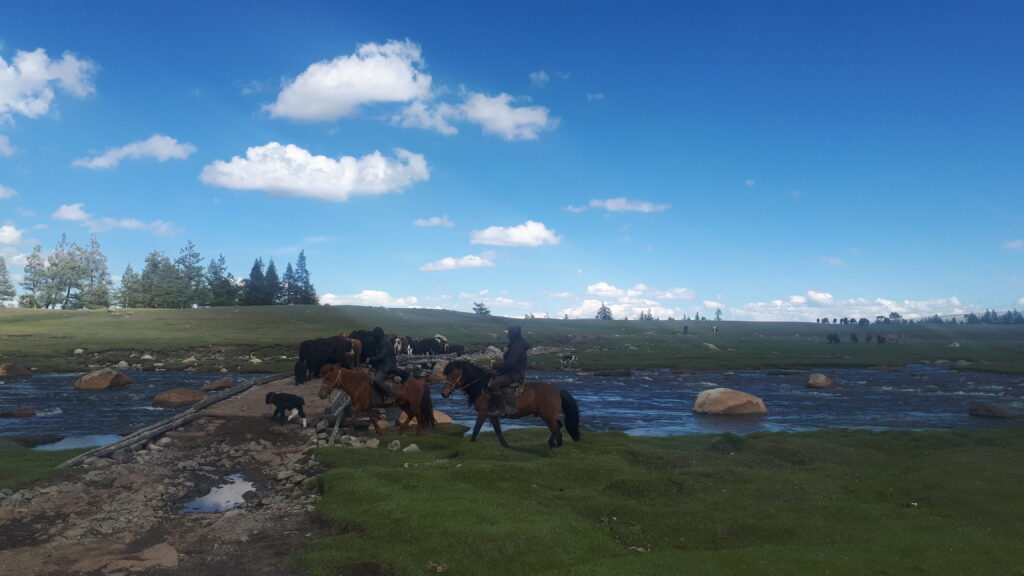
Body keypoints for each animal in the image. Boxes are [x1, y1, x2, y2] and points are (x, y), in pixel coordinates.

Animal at [442, 356, 585, 446]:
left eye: (454, 376)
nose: (443, 394)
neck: (482, 386)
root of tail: (558, 390)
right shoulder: (491, 415)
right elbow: (498, 430)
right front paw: (505, 445)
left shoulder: (482, 413)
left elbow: (476, 429)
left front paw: (471, 443)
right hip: (546, 415)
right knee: (558, 425)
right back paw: (551, 444)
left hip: (548, 415)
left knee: (556, 430)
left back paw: (556, 448)